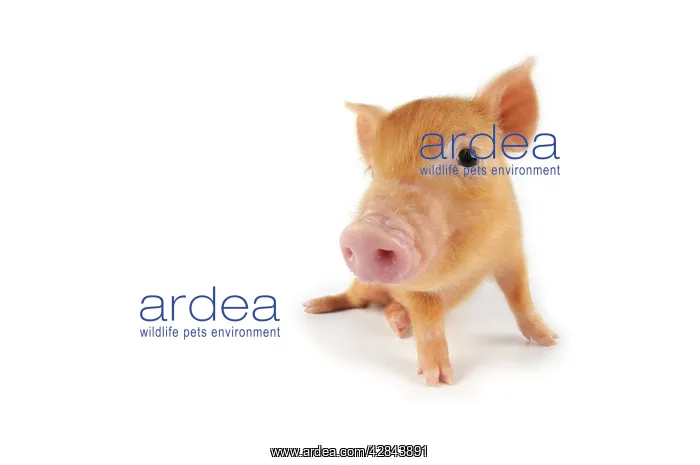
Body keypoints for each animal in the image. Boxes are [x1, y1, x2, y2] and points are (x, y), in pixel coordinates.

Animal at [304, 58, 557, 385]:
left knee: (390, 308)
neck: (468, 265)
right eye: (373, 171)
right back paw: (313, 306)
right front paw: (440, 381)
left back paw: (399, 324)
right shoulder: (416, 285)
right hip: (364, 284)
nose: (367, 233)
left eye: (469, 156)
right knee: (353, 297)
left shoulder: (512, 249)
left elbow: (521, 298)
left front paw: (551, 340)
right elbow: (428, 323)